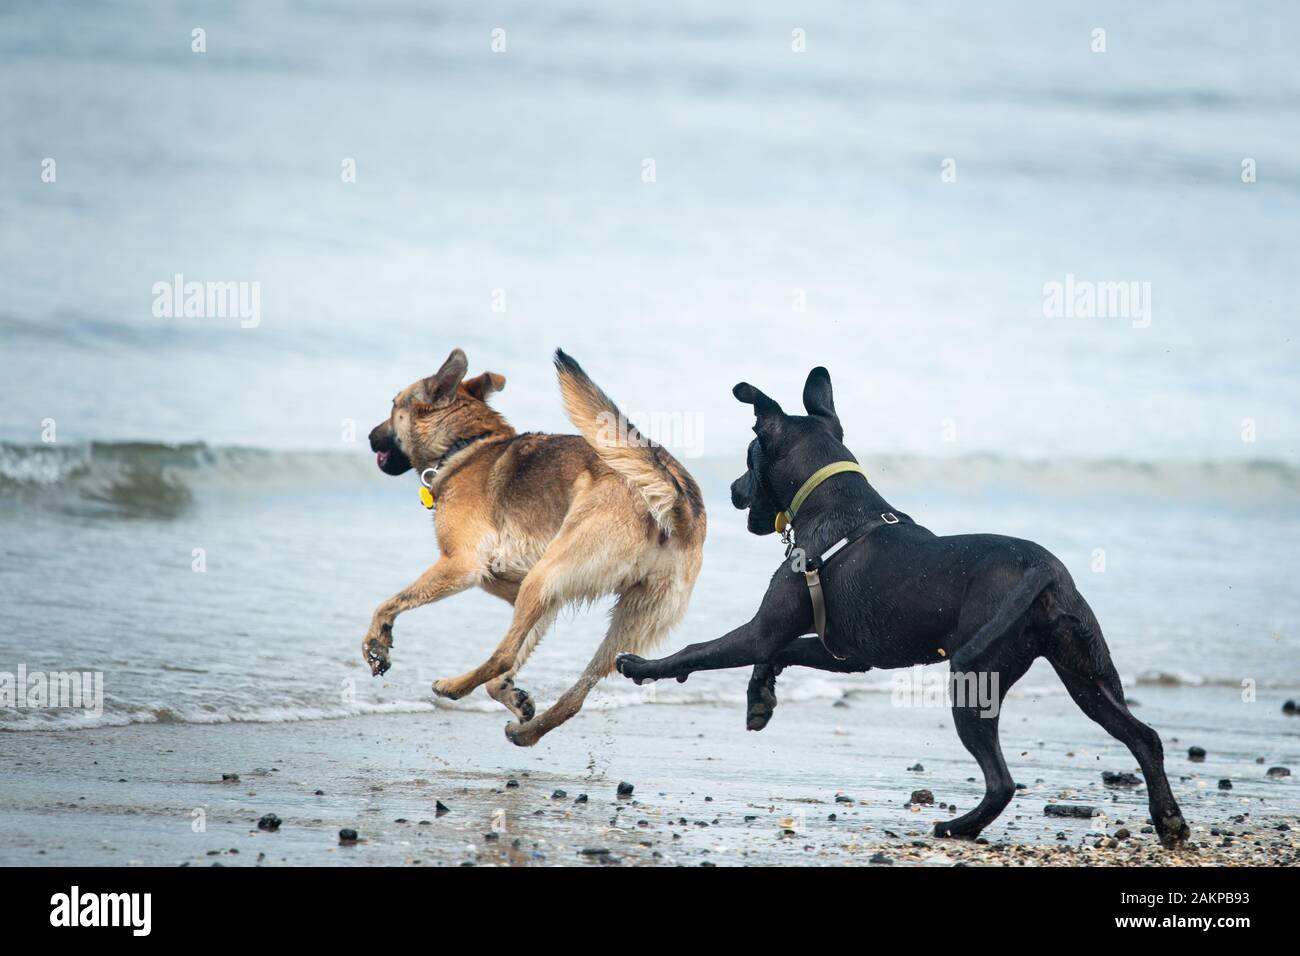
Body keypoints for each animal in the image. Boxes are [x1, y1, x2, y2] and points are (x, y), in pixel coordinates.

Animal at [361, 348, 707, 743]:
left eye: (393, 405)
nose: (370, 436)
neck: (469, 445)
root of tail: (675, 502)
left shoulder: (461, 565)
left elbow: (388, 604)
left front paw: (376, 645)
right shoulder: (540, 598)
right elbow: (507, 672)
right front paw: (515, 698)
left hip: (545, 575)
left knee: (503, 655)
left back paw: (453, 686)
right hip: (620, 613)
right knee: (574, 696)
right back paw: (527, 732)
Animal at [616, 366, 1190, 842]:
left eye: (747, 458)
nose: (733, 490)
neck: (834, 503)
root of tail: (1043, 570)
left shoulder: (764, 630)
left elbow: (702, 649)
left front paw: (641, 665)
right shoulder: (845, 654)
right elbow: (780, 653)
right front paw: (761, 699)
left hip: (978, 678)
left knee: (1002, 781)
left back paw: (958, 827)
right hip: (1087, 673)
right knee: (1146, 738)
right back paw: (1168, 819)